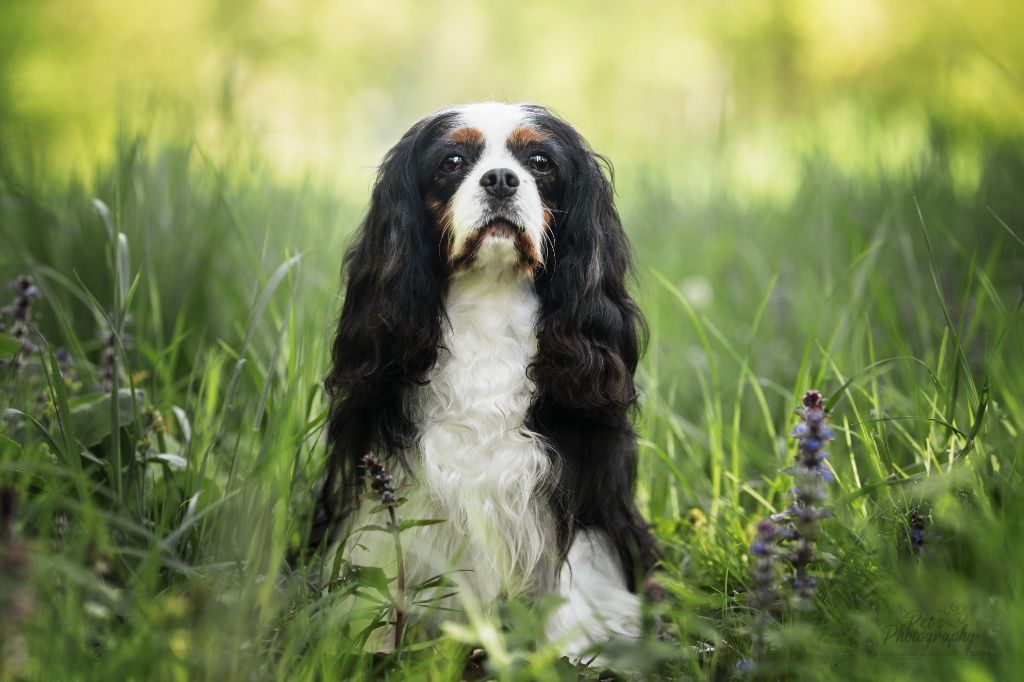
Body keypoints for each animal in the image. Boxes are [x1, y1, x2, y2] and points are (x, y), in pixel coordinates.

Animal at [311, 102, 659, 659]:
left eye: (540, 162)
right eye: (452, 161)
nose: (500, 179)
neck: (490, 296)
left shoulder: (583, 472)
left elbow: (579, 562)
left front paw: (569, 650)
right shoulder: (386, 466)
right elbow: (381, 546)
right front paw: (373, 638)